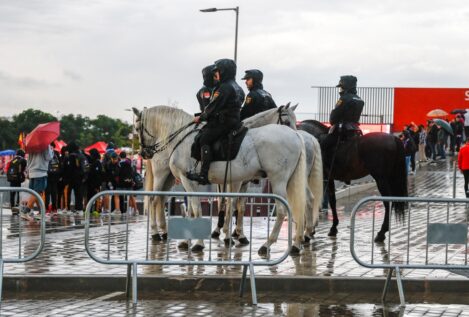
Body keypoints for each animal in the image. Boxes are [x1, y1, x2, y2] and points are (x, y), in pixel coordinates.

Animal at [132, 105, 308, 253]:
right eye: (286, 121)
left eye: (136, 127)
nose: (144, 153)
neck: (181, 138)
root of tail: (295, 137)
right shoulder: (204, 182)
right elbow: (200, 208)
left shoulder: (194, 180)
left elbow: (205, 207)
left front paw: (203, 241)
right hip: (165, 176)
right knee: (157, 199)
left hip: (278, 181)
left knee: (282, 211)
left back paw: (268, 244)